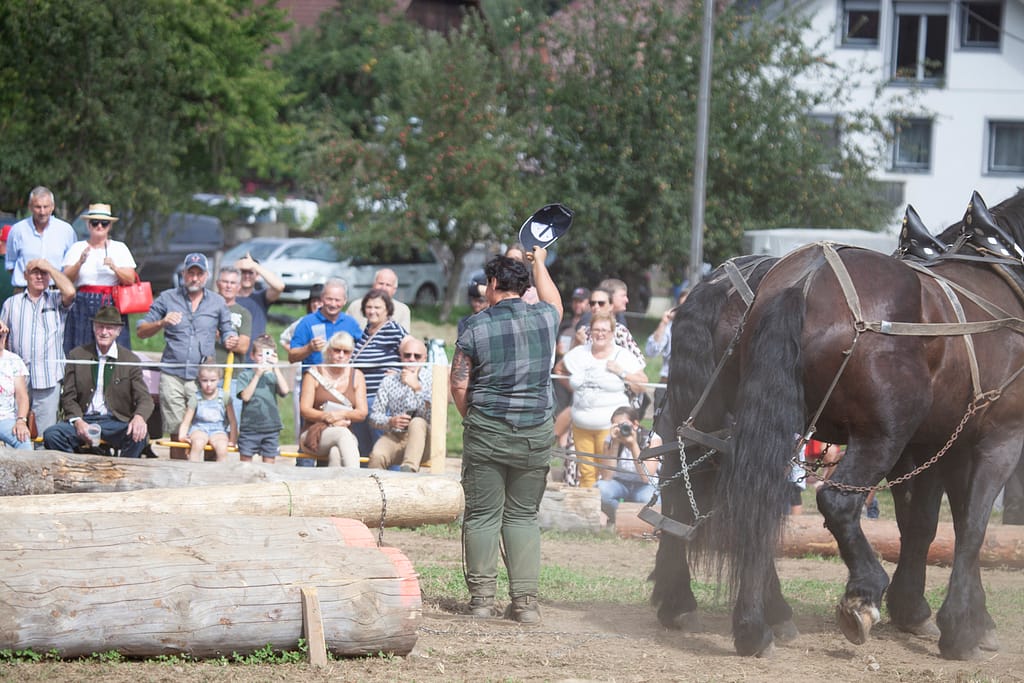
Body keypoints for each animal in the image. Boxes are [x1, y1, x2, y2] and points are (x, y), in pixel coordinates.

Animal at [711, 189, 1024, 659]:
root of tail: (801, 280)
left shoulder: (939, 444)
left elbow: (926, 523)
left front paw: (926, 611)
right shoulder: (998, 438)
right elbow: (972, 526)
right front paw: (960, 628)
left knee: (753, 499)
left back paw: (755, 624)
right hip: (882, 435)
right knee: (837, 502)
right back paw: (863, 591)